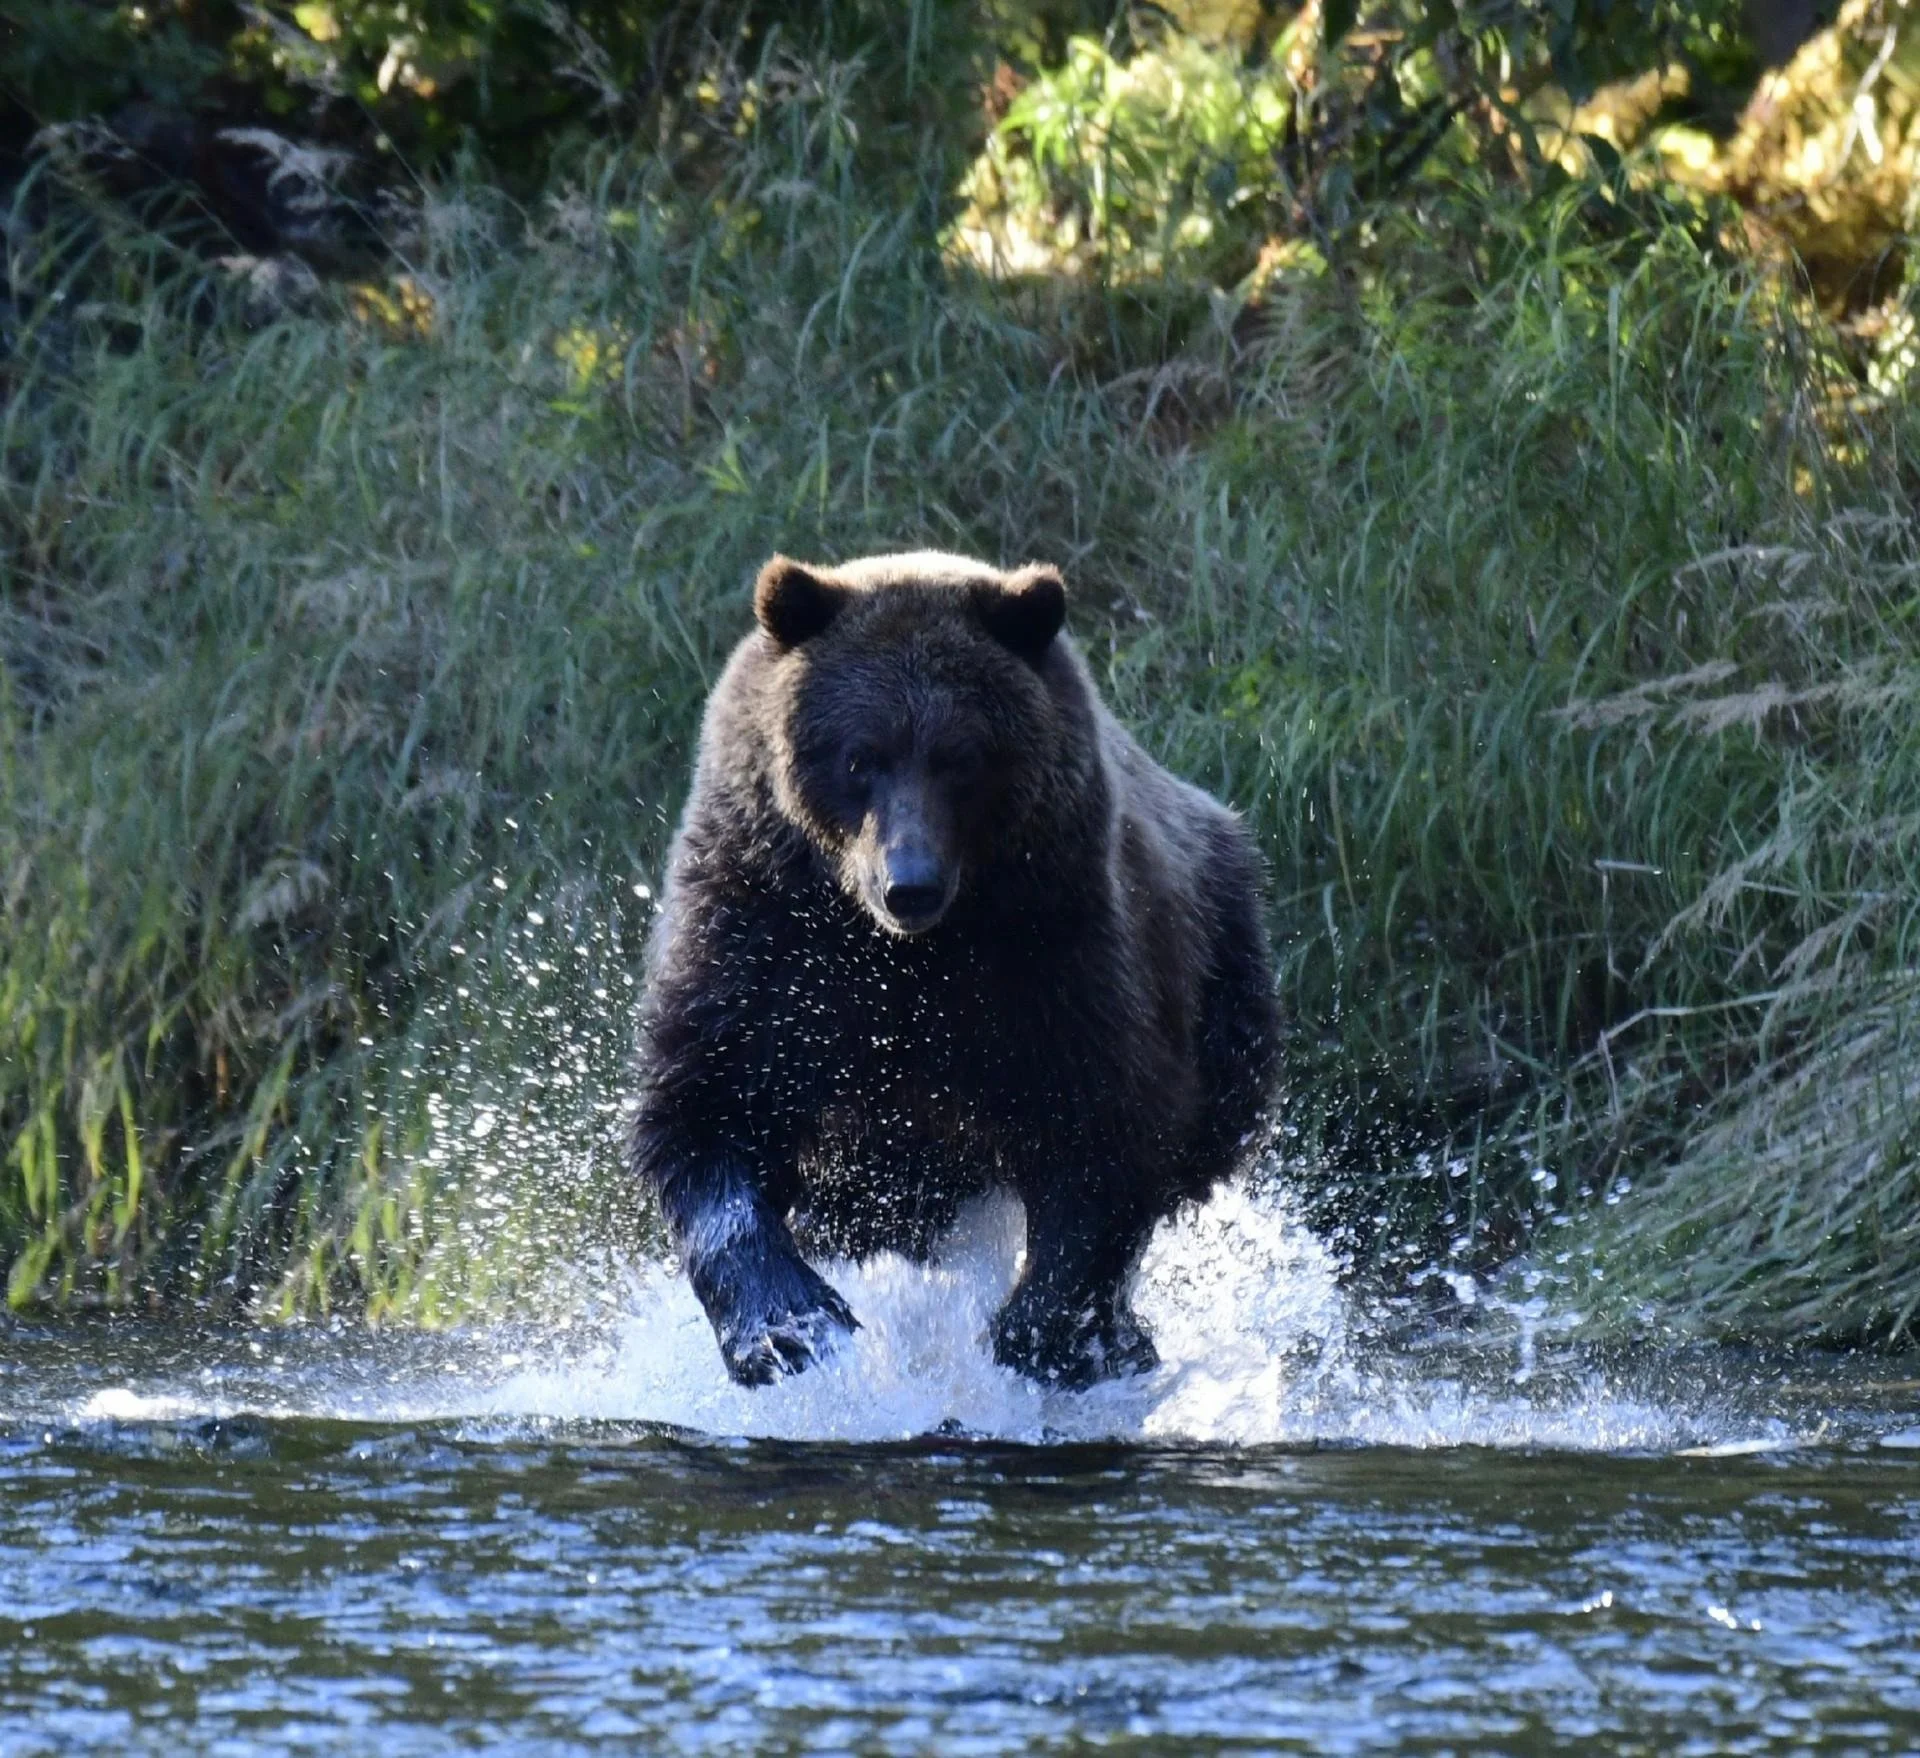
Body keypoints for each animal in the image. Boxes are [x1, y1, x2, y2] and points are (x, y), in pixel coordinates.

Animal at [627, 550, 1280, 1389]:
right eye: (858, 757)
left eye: (961, 759)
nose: (910, 885)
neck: (905, 952)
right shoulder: (764, 932)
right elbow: (709, 1110)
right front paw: (791, 1329)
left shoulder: (1050, 947)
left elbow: (1102, 1124)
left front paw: (1054, 1335)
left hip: (1225, 974)